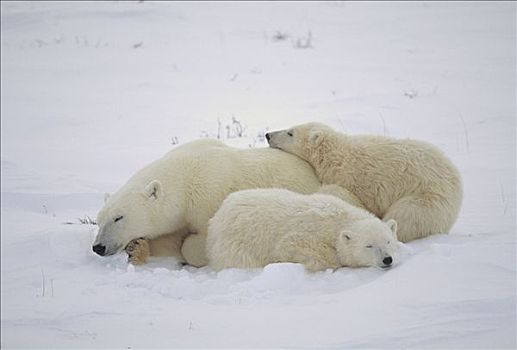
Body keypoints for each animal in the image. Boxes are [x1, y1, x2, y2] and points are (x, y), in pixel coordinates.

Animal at [93, 138, 346, 266]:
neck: (186, 176)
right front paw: (138, 248)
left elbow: (198, 242)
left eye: (119, 217)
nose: (98, 247)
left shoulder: (209, 200)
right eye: (99, 220)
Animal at [207, 189, 400, 270]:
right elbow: (289, 246)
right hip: (237, 243)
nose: (387, 259)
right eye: (369, 245)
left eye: (388, 241)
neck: (338, 219)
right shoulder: (304, 233)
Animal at [264, 121, 462, 242]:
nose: (268, 135)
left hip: (426, 198)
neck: (335, 155)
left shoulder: (355, 178)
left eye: (290, 132)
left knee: (406, 216)